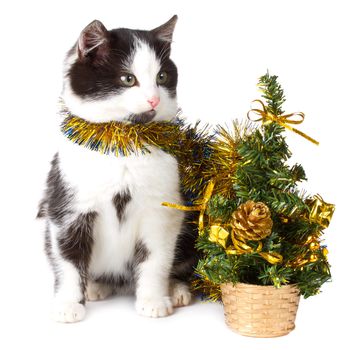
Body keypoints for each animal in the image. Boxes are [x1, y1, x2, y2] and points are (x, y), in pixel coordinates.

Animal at [38, 15, 197, 322]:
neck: (123, 147)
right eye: (127, 78)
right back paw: (94, 287)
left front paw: (153, 299)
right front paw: (68, 304)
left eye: (162, 77)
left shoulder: (162, 209)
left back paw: (176, 289)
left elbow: (156, 257)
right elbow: (68, 257)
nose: (153, 99)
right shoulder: (67, 205)